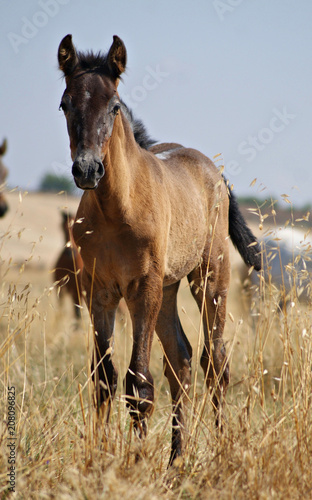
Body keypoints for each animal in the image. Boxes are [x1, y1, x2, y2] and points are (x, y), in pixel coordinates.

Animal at [56, 34, 260, 464]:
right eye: (65, 103)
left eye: (114, 106)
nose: (87, 170)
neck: (117, 208)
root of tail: (214, 172)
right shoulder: (100, 292)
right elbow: (105, 379)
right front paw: (103, 456)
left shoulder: (142, 289)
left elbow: (139, 383)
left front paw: (135, 460)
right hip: (167, 288)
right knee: (180, 360)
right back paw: (175, 458)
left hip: (209, 278)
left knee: (215, 363)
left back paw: (219, 447)